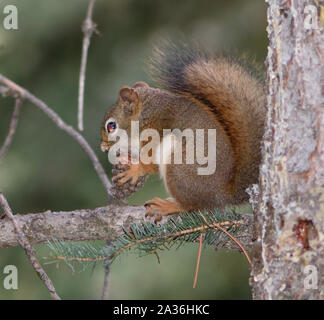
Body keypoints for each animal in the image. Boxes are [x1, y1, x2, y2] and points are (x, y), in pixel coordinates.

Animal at [101, 42, 266, 222]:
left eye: (111, 126)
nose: (103, 147)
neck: (145, 115)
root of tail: (222, 194)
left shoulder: (156, 132)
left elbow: (150, 163)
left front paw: (134, 170)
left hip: (178, 167)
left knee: (191, 205)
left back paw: (168, 206)